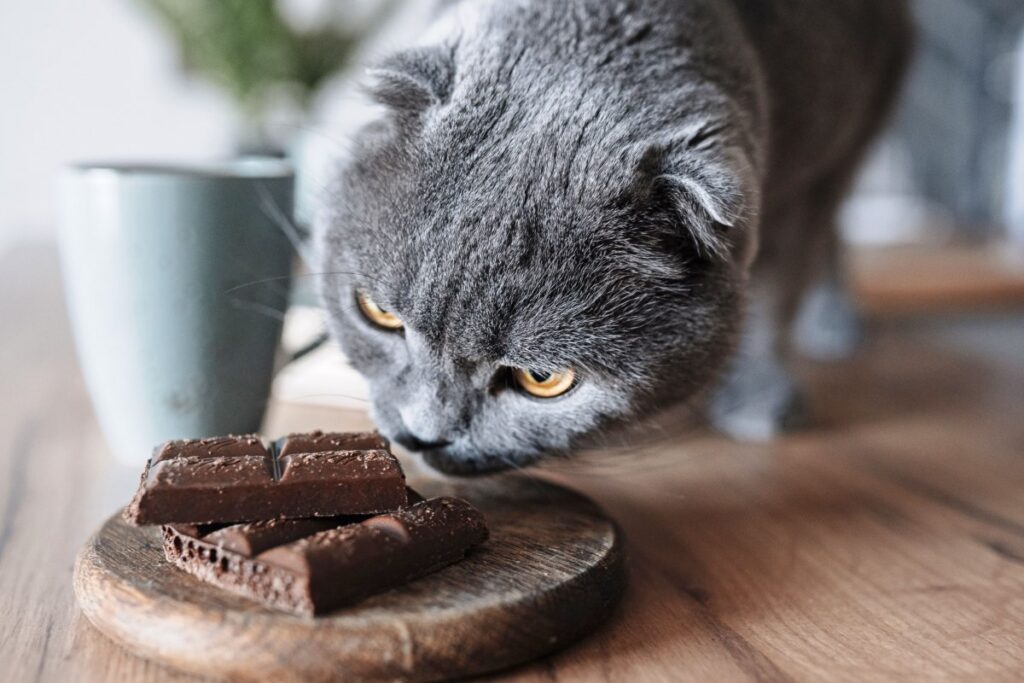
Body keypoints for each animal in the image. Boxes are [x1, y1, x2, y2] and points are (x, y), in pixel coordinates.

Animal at [317, 0, 913, 473]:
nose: (422, 434)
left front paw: (758, 394)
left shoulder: (815, 172)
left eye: (544, 379)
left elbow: (782, 281)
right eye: (377, 313)